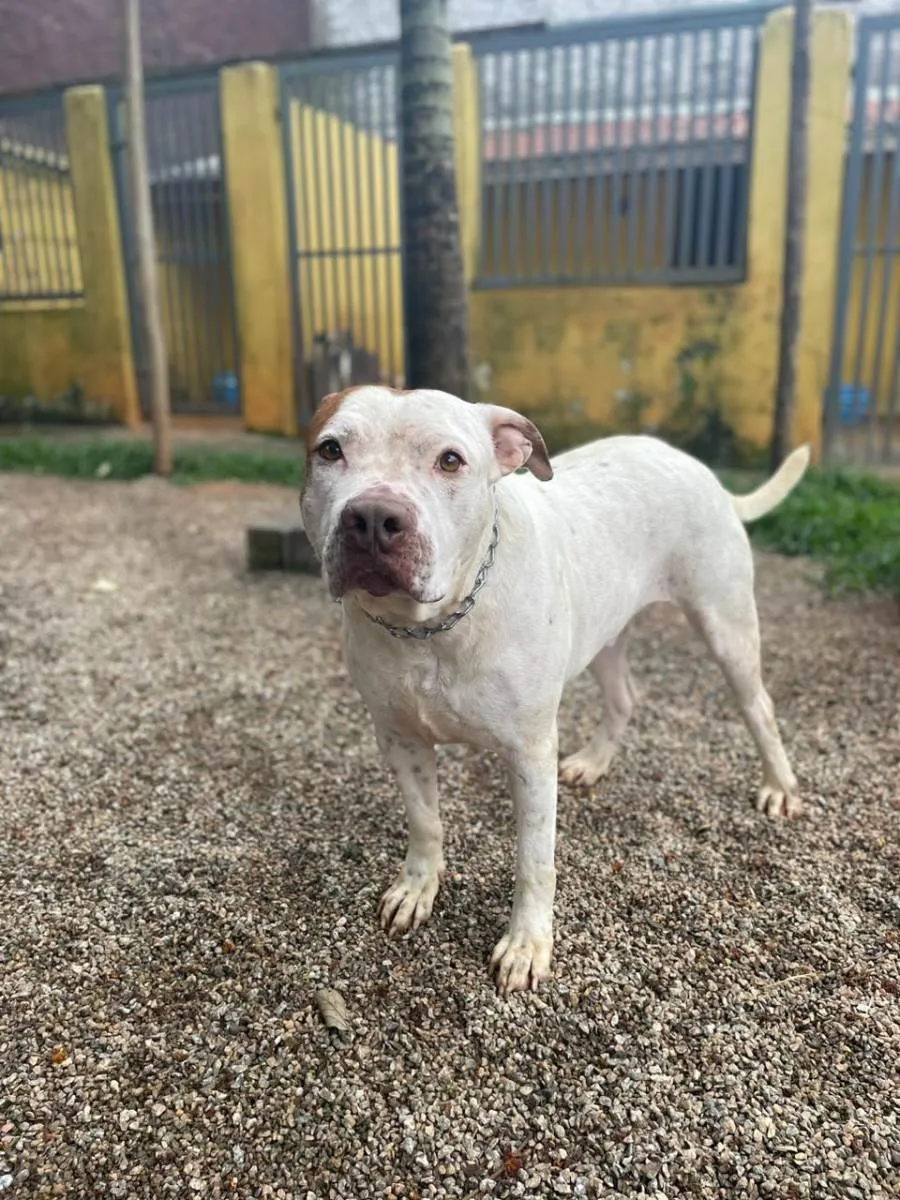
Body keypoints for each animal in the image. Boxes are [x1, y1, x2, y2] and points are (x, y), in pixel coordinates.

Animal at [299, 386, 809, 996]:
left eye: (450, 460)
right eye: (331, 450)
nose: (374, 517)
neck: (431, 629)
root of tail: (697, 468)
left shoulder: (529, 753)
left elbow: (534, 859)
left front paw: (526, 945)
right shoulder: (400, 738)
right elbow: (425, 822)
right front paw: (417, 888)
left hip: (726, 627)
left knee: (759, 706)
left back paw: (779, 787)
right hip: (604, 632)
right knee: (624, 696)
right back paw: (593, 762)